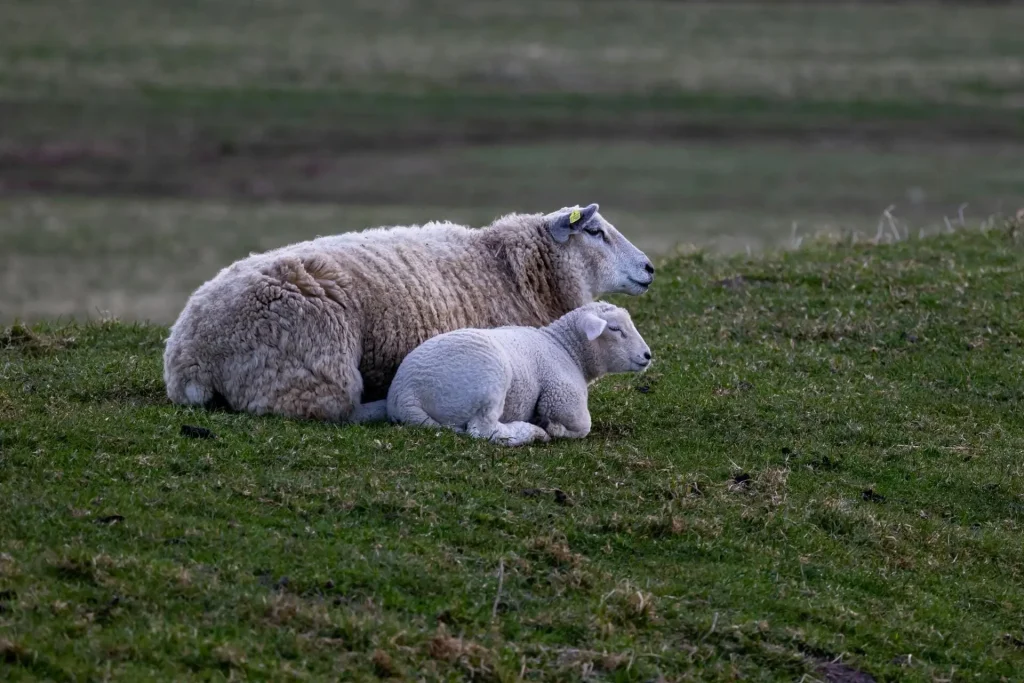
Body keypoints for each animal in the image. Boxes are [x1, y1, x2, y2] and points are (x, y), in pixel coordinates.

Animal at [163, 203, 655, 423]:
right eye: (595, 231)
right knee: (332, 409)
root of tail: (189, 355)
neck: (508, 267)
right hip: (313, 370)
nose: (650, 268)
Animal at [386, 301, 652, 446]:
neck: (566, 349)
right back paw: (532, 433)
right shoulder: (562, 397)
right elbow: (583, 425)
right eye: (615, 329)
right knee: (483, 430)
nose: (648, 355)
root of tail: (404, 394)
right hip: (490, 377)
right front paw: (554, 428)